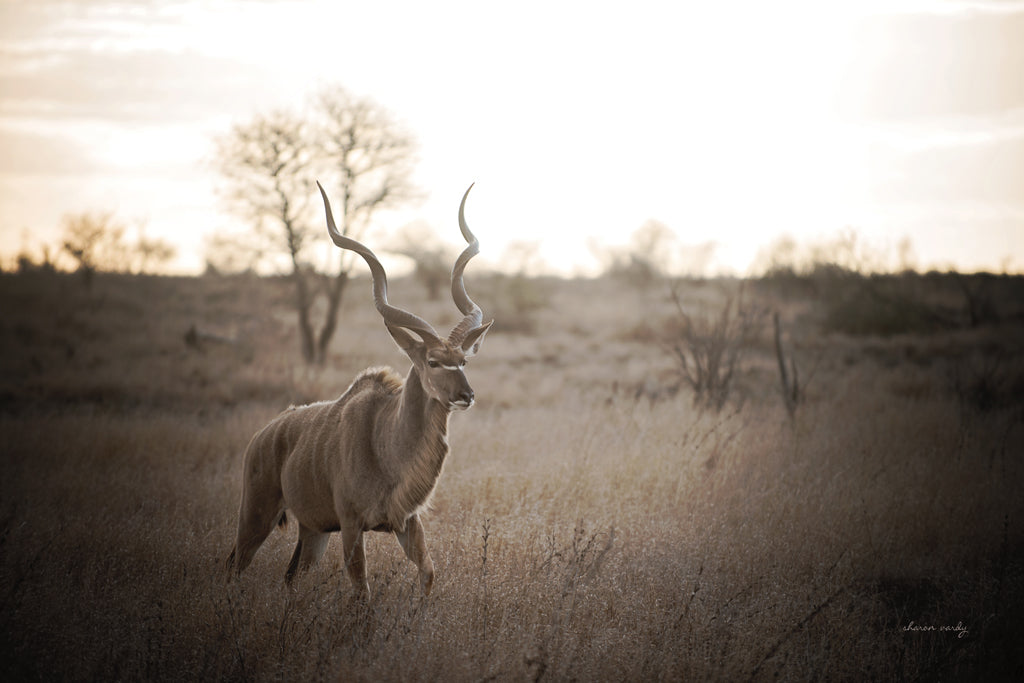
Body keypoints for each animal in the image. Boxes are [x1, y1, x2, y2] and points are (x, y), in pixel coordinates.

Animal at [225, 181, 495, 593]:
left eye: (463, 361)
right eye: (433, 362)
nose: (467, 396)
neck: (385, 442)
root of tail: (263, 435)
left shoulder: (407, 522)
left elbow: (428, 573)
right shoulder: (352, 525)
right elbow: (361, 591)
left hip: (313, 532)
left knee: (290, 577)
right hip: (257, 515)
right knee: (236, 564)